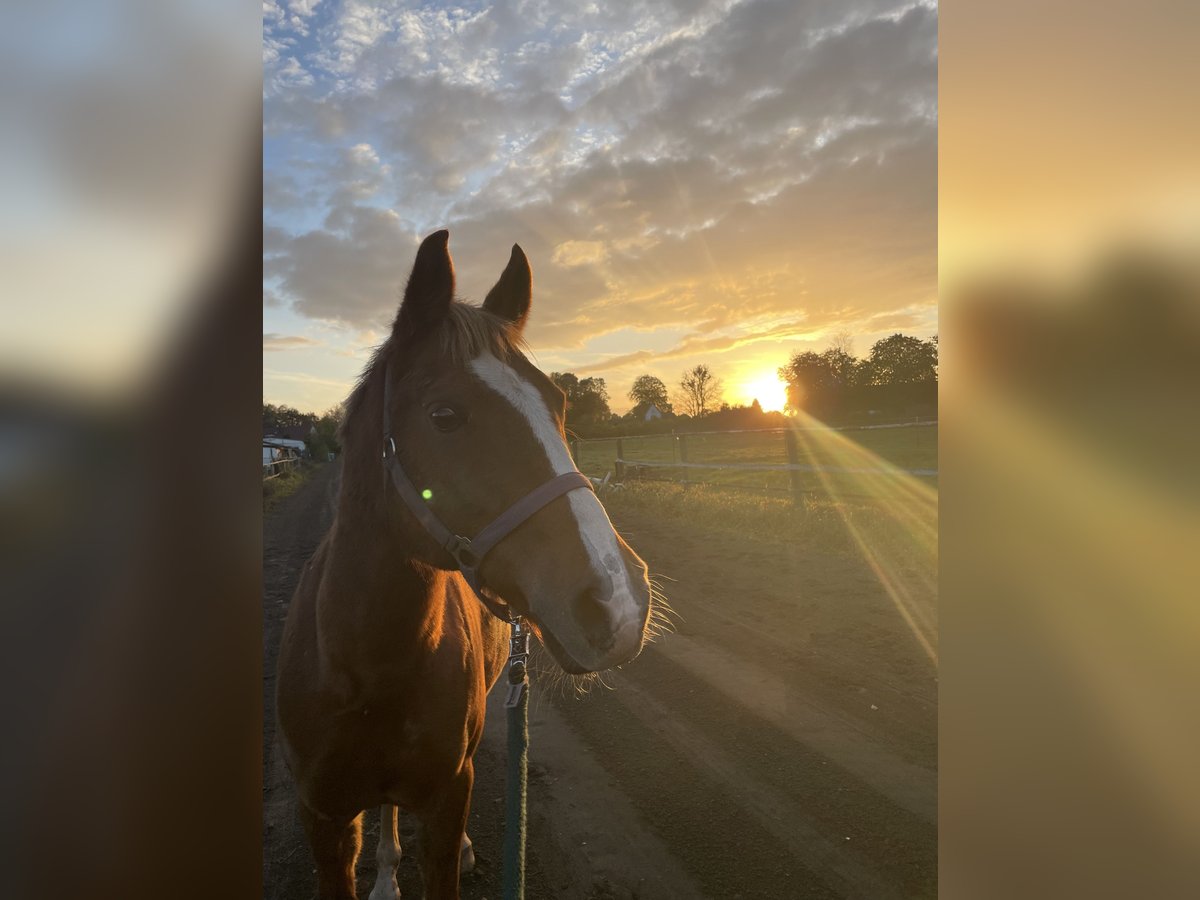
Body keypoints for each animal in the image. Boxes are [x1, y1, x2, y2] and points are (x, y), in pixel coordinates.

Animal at [276, 230, 653, 900]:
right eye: (445, 415)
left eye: (559, 404)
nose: (619, 602)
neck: (364, 665)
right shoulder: (322, 818)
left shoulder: (446, 804)